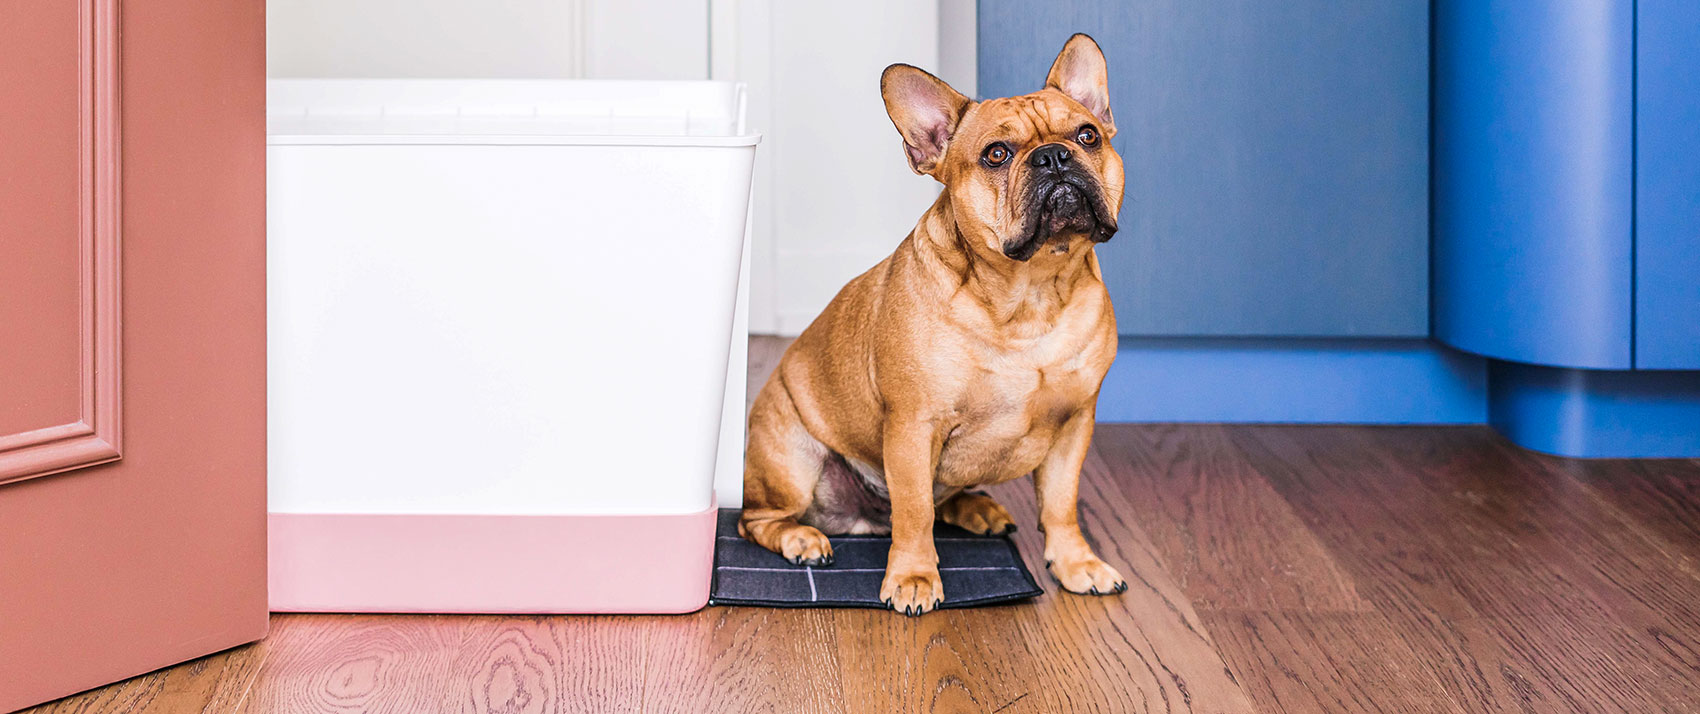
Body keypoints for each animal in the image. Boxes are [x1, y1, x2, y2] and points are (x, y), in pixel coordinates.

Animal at [737, 34, 1122, 612]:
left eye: (1087, 135)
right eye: (996, 154)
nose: (1055, 156)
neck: (1030, 292)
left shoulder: (1075, 424)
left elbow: (1061, 503)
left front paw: (1077, 563)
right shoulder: (914, 428)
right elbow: (915, 511)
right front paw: (915, 578)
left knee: (944, 503)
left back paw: (979, 508)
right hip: (792, 463)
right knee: (759, 519)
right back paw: (802, 539)